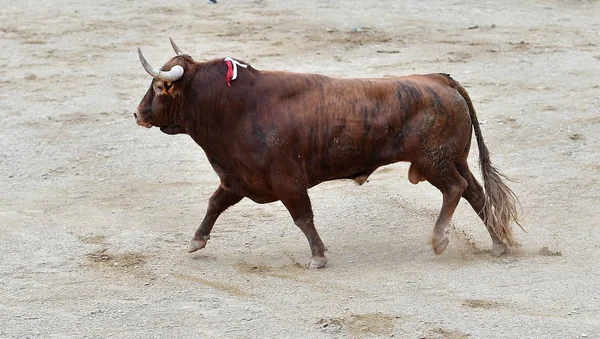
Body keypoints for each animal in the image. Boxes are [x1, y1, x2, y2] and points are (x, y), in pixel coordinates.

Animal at [135, 39, 520, 268]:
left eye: (159, 87)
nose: (138, 114)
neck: (235, 107)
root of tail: (439, 79)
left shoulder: (287, 181)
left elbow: (303, 217)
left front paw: (318, 257)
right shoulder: (239, 178)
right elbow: (214, 204)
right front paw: (196, 241)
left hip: (434, 161)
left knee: (455, 189)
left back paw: (440, 239)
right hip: (454, 159)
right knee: (475, 192)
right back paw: (498, 244)